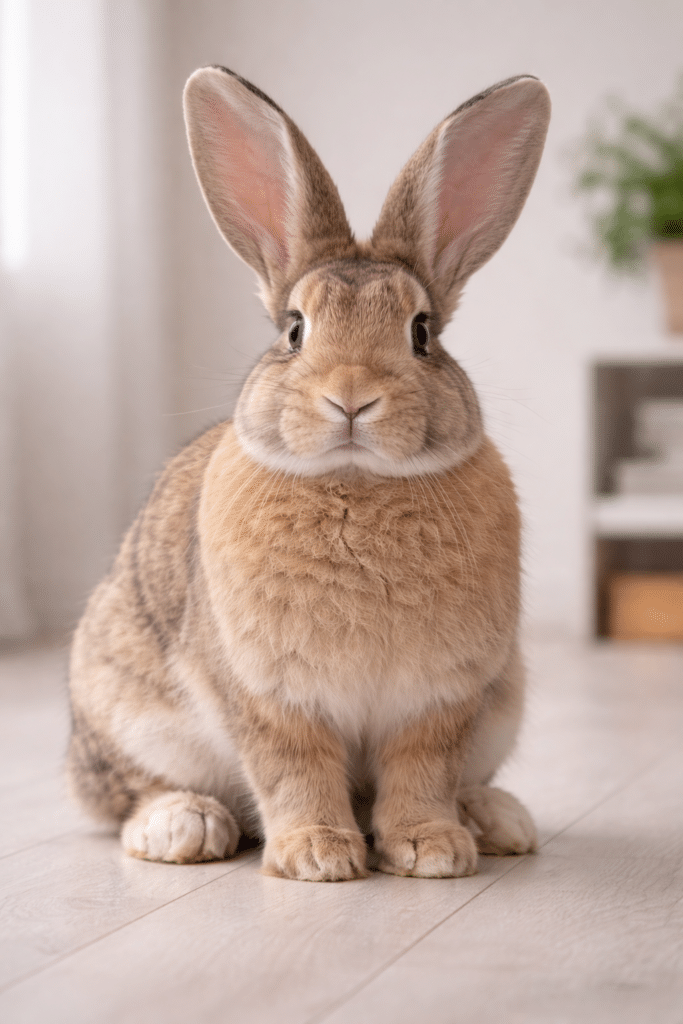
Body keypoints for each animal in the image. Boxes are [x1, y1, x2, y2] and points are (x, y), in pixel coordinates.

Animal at [67, 66, 551, 882]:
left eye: (421, 333)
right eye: (294, 330)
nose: (351, 396)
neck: (355, 480)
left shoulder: (440, 702)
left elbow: (422, 772)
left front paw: (430, 849)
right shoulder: (268, 697)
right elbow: (295, 770)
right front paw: (317, 856)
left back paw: (494, 820)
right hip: (125, 708)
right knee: (128, 795)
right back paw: (184, 826)